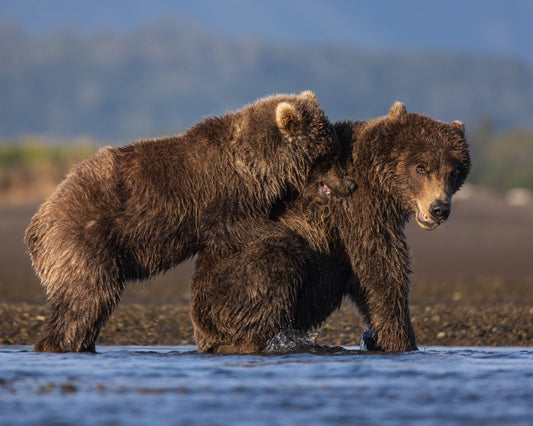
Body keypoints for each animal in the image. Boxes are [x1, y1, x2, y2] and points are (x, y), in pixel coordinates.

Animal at [27, 90, 352, 352]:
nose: (349, 184)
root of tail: (37, 222)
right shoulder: (223, 196)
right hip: (84, 240)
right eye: (328, 154)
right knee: (85, 298)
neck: (258, 168)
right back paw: (57, 344)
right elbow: (240, 228)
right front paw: (294, 244)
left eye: (335, 148)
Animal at [191, 103, 470, 352]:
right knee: (273, 261)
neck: (381, 185)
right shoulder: (358, 209)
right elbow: (381, 270)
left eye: (453, 171)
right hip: (225, 280)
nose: (439, 208)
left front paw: (378, 338)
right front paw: (402, 341)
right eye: (421, 167)